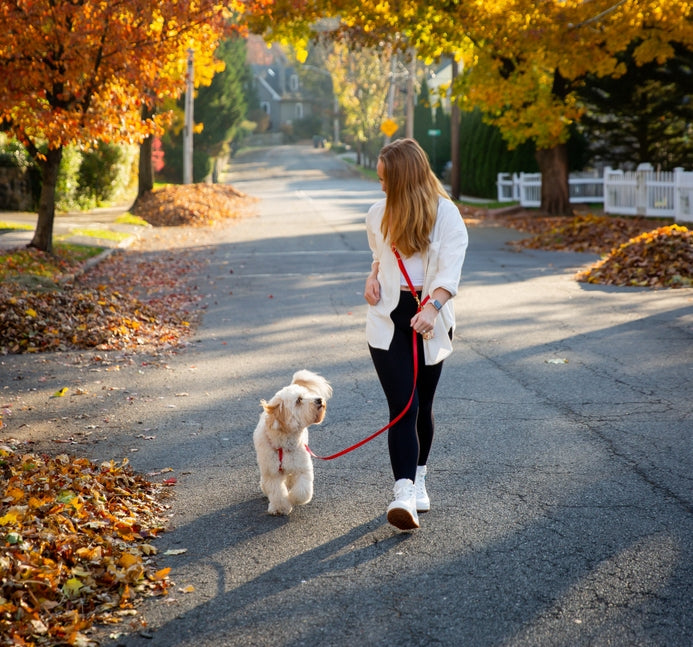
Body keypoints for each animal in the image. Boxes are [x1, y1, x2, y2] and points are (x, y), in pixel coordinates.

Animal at [253, 370, 332, 516]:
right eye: (299, 400)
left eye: (308, 394)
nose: (319, 400)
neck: (284, 444)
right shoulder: (272, 472)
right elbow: (277, 492)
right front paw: (280, 508)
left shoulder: (302, 467)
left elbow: (302, 491)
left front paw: (293, 498)